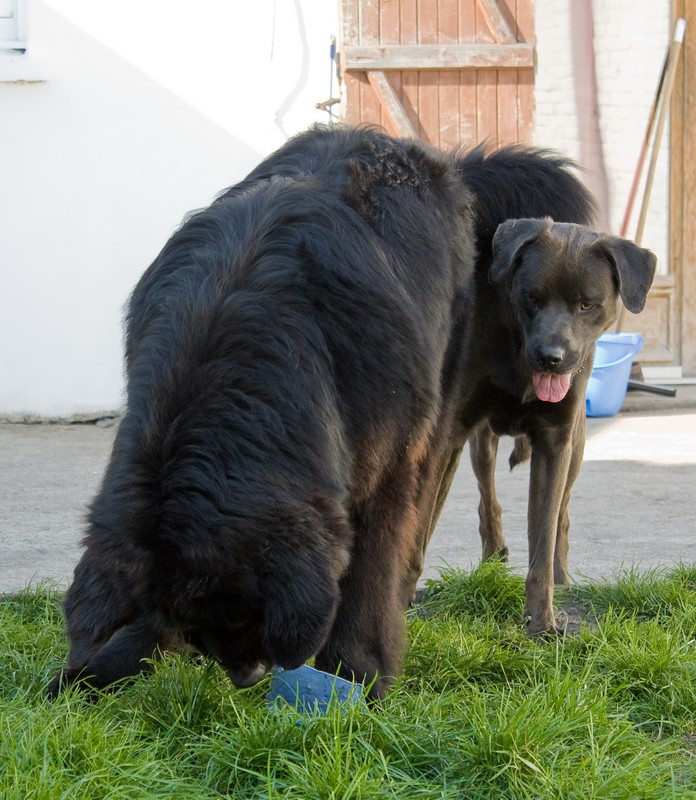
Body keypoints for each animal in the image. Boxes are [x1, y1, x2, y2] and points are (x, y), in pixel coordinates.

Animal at [50, 125, 600, 700]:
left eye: (245, 613)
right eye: (203, 626)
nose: (248, 676)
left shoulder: (387, 460)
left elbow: (370, 572)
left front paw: (359, 672)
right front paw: (98, 667)